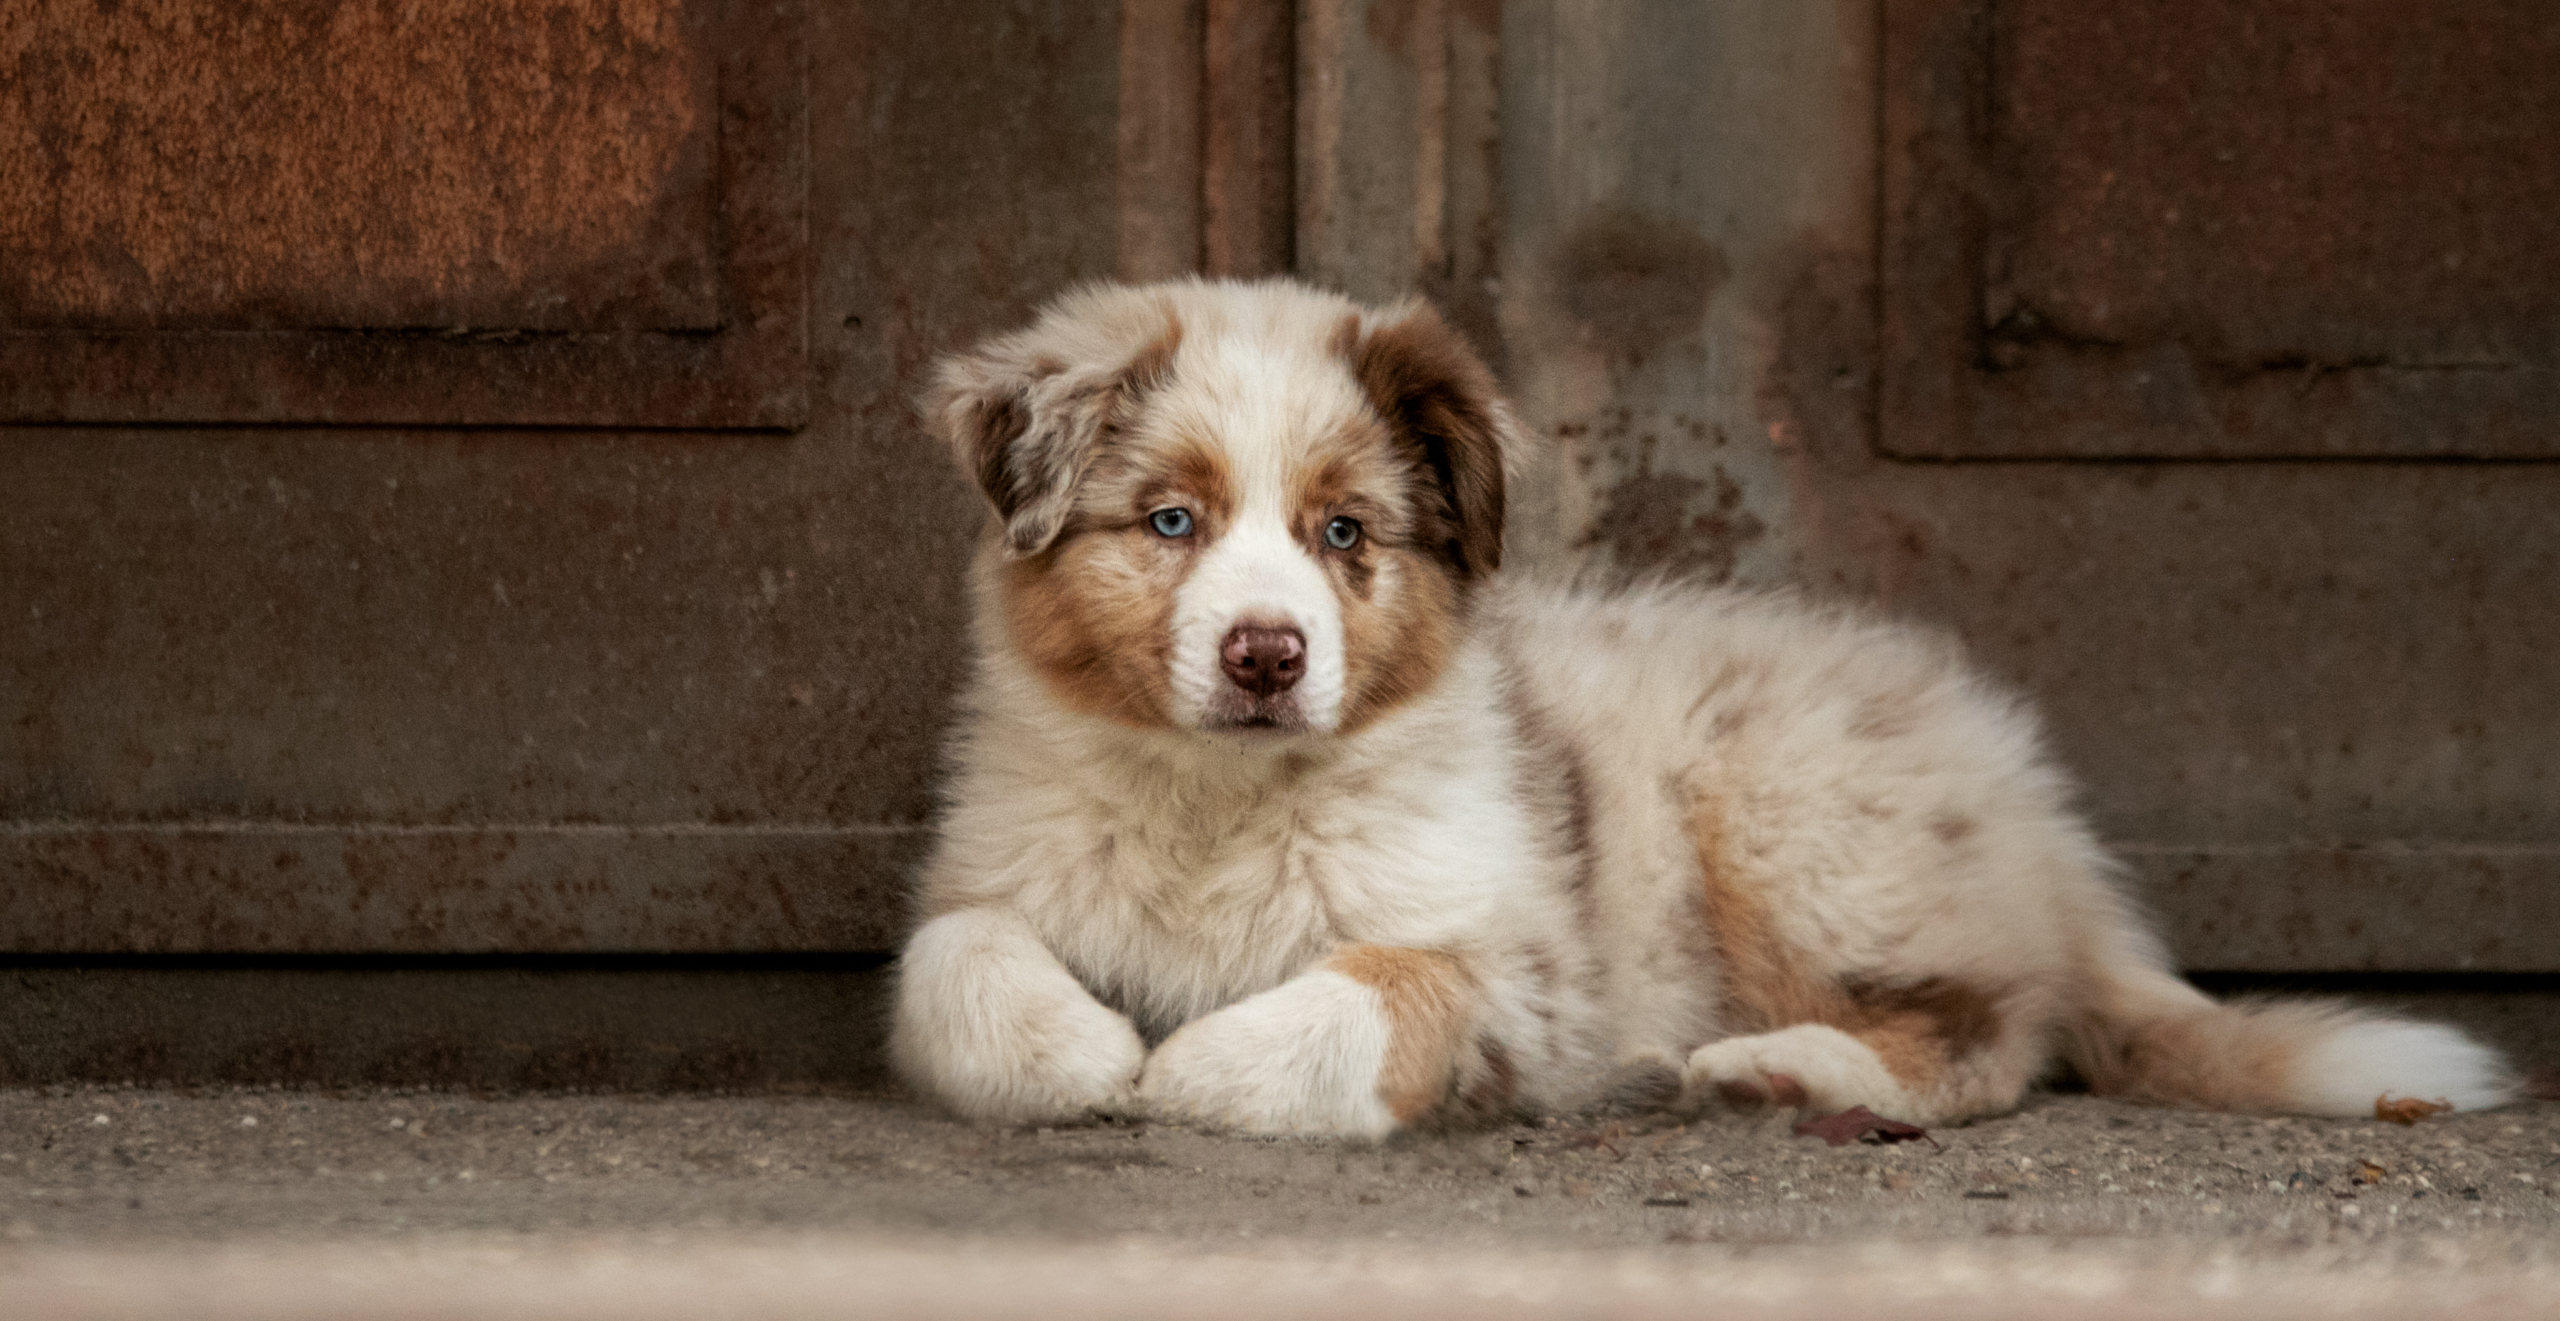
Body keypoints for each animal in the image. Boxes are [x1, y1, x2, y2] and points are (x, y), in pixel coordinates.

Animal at [890, 276, 2508, 1136]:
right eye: (1170, 522)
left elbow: (1373, 991)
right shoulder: (995, 871)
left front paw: (1189, 1069)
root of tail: (2039, 826)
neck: (1216, 803)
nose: (1267, 656)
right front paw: (1080, 1054)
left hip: (1795, 827)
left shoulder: (1523, 967)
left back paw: (1781, 1070)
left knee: (1989, 1041)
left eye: (1345, 533)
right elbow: (949, 956)